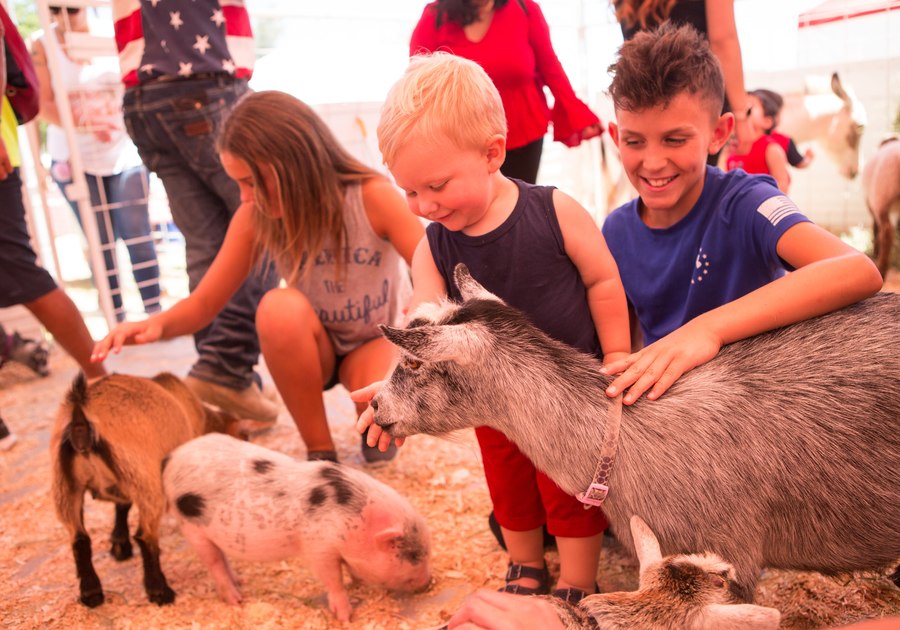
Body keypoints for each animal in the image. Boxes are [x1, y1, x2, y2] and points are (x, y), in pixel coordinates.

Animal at [163, 434, 434, 624]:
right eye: (413, 555)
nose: (429, 583)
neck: (353, 520)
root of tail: (171, 458)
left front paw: (358, 584)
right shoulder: (318, 547)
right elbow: (333, 579)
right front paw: (346, 617)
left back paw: (239, 582)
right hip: (191, 527)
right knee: (214, 563)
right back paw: (236, 600)